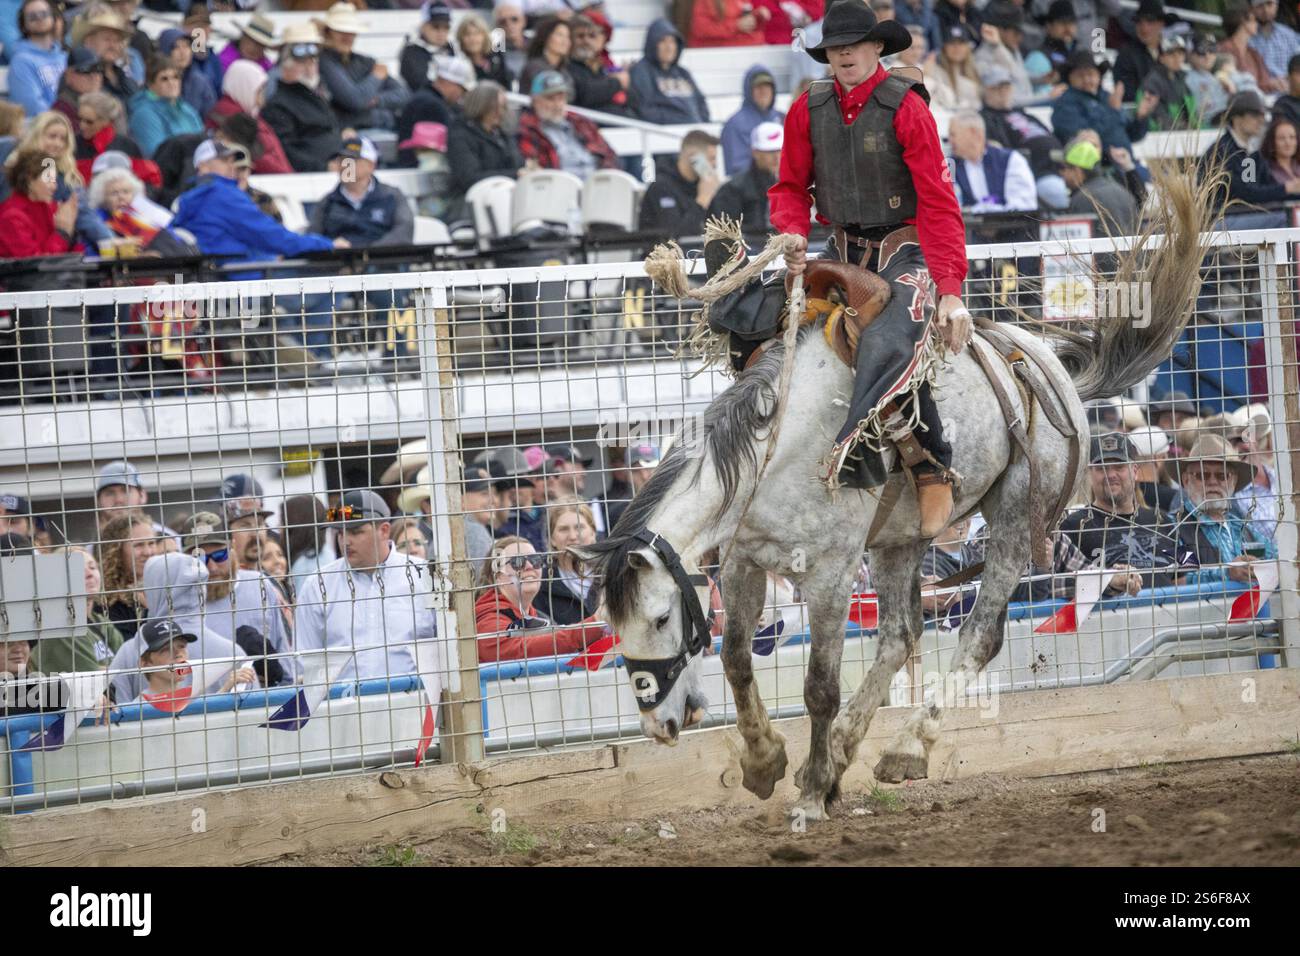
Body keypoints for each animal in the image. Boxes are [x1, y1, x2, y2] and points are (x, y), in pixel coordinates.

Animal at [572, 166, 1217, 821]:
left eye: (659, 616)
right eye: (609, 623)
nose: (659, 725)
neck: (778, 450)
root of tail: (1051, 366)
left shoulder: (830, 575)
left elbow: (819, 687)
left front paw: (808, 795)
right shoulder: (743, 560)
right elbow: (734, 657)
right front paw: (766, 762)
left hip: (1014, 518)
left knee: (978, 636)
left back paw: (904, 748)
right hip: (899, 540)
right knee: (899, 637)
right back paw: (841, 754)